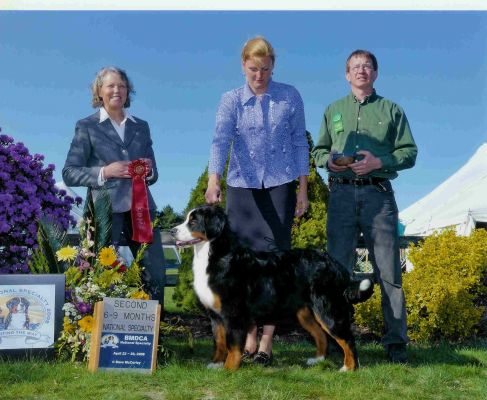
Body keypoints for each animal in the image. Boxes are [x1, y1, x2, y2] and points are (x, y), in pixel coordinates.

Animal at [173, 206, 376, 372]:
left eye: (193, 221)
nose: (172, 230)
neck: (215, 256)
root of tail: (333, 263)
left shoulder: (233, 313)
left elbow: (233, 345)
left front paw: (229, 369)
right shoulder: (215, 315)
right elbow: (219, 342)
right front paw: (215, 364)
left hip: (328, 309)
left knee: (347, 338)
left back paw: (349, 368)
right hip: (305, 313)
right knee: (321, 335)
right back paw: (318, 360)